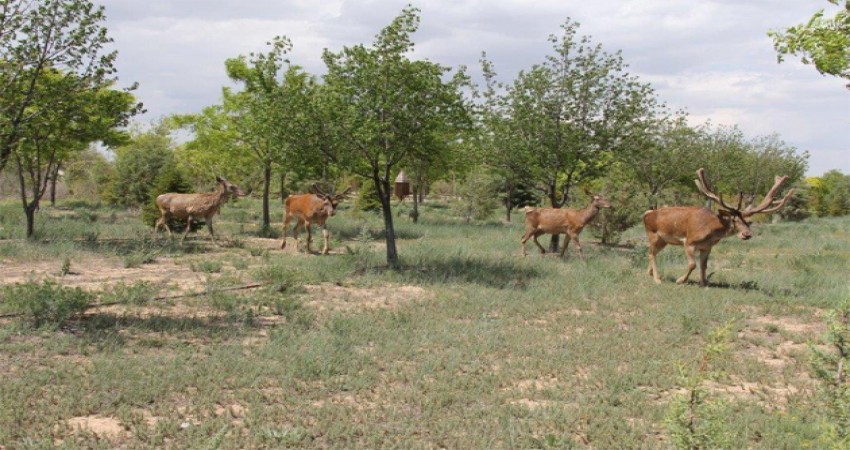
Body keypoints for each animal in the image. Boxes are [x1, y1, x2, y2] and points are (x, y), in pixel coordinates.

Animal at [644, 167, 796, 286]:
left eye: (748, 222)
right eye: (734, 220)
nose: (747, 234)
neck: (712, 232)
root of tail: (646, 214)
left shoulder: (707, 247)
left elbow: (704, 265)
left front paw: (704, 283)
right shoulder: (689, 242)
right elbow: (693, 264)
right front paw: (680, 280)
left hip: (664, 240)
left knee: (652, 253)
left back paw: (650, 273)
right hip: (653, 235)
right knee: (651, 253)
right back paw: (657, 279)